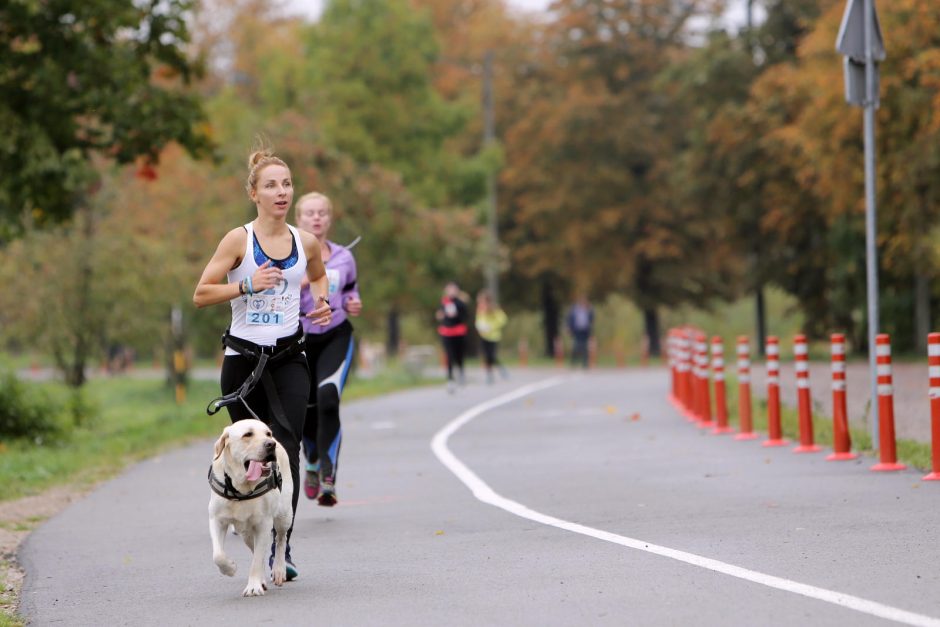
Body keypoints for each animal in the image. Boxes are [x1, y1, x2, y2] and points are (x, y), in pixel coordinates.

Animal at [209, 420, 294, 596]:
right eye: (247, 434)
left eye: (267, 433)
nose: (271, 444)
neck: (240, 488)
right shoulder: (216, 520)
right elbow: (218, 555)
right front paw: (230, 568)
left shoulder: (263, 524)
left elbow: (257, 559)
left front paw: (253, 586)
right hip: (245, 532)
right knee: (255, 549)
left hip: (284, 515)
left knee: (280, 539)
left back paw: (279, 570)